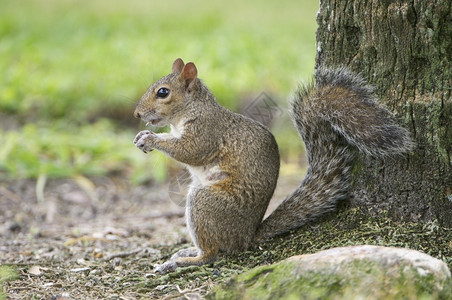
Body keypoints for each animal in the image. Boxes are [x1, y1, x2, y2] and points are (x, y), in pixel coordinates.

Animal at [132, 57, 414, 274]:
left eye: (163, 92)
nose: (136, 114)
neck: (189, 111)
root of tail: (246, 237)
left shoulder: (207, 132)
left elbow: (191, 151)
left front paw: (151, 138)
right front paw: (143, 136)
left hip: (206, 202)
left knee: (213, 253)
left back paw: (183, 262)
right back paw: (187, 251)